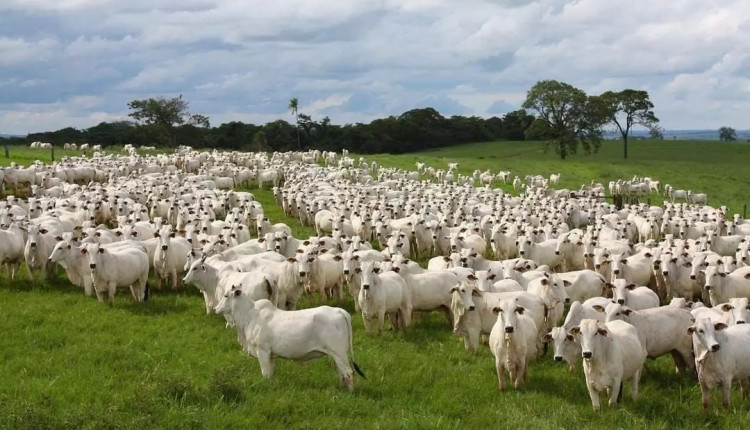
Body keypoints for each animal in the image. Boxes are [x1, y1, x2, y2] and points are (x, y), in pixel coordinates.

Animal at [213, 288, 366, 392]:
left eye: (226, 295)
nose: (215, 309)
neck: (249, 316)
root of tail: (339, 310)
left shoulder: (262, 350)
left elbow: (265, 373)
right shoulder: (270, 355)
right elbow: (270, 373)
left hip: (339, 352)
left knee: (348, 373)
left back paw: (350, 392)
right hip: (338, 355)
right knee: (342, 372)